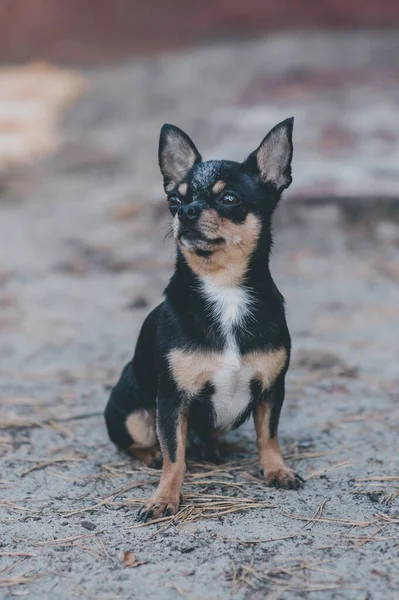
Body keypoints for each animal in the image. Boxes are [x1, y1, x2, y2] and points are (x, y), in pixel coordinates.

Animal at [104, 117, 304, 520]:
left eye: (229, 199)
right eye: (174, 200)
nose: (186, 211)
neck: (224, 289)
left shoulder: (272, 390)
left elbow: (269, 435)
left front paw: (277, 470)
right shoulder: (172, 401)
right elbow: (174, 456)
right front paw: (164, 497)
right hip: (132, 414)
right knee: (141, 443)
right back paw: (152, 455)